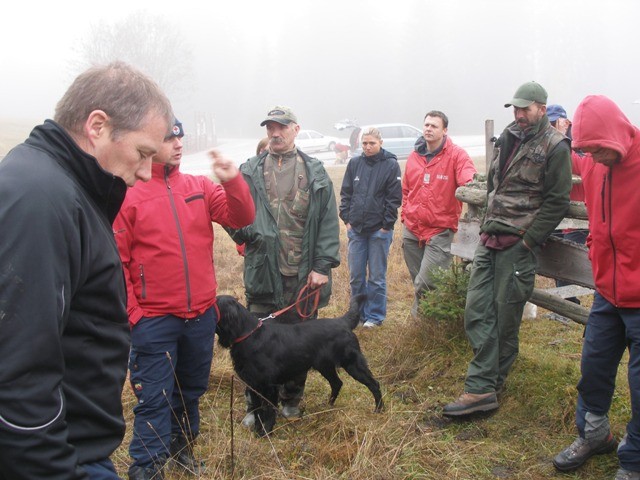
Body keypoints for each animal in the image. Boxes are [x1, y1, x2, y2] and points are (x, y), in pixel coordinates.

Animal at [215, 294, 384, 436]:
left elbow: (268, 411)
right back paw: (328, 406)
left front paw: (266, 432)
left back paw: (378, 409)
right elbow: (257, 411)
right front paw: (257, 430)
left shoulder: (269, 386)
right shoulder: (253, 384)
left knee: (374, 384)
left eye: (212, 304)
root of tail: (342, 322)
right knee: (337, 383)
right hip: (325, 366)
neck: (249, 334)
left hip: (353, 364)